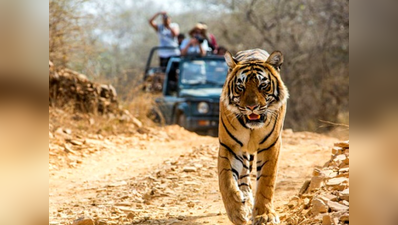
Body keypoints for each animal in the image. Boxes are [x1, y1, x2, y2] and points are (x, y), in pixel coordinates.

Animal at [218, 48, 290, 224]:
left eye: (263, 85)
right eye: (240, 87)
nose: (252, 107)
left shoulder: (271, 145)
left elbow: (266, 182)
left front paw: (264, 215)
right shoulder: (229, 146)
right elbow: (226, 180)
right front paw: (237, 212)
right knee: (243, 176)